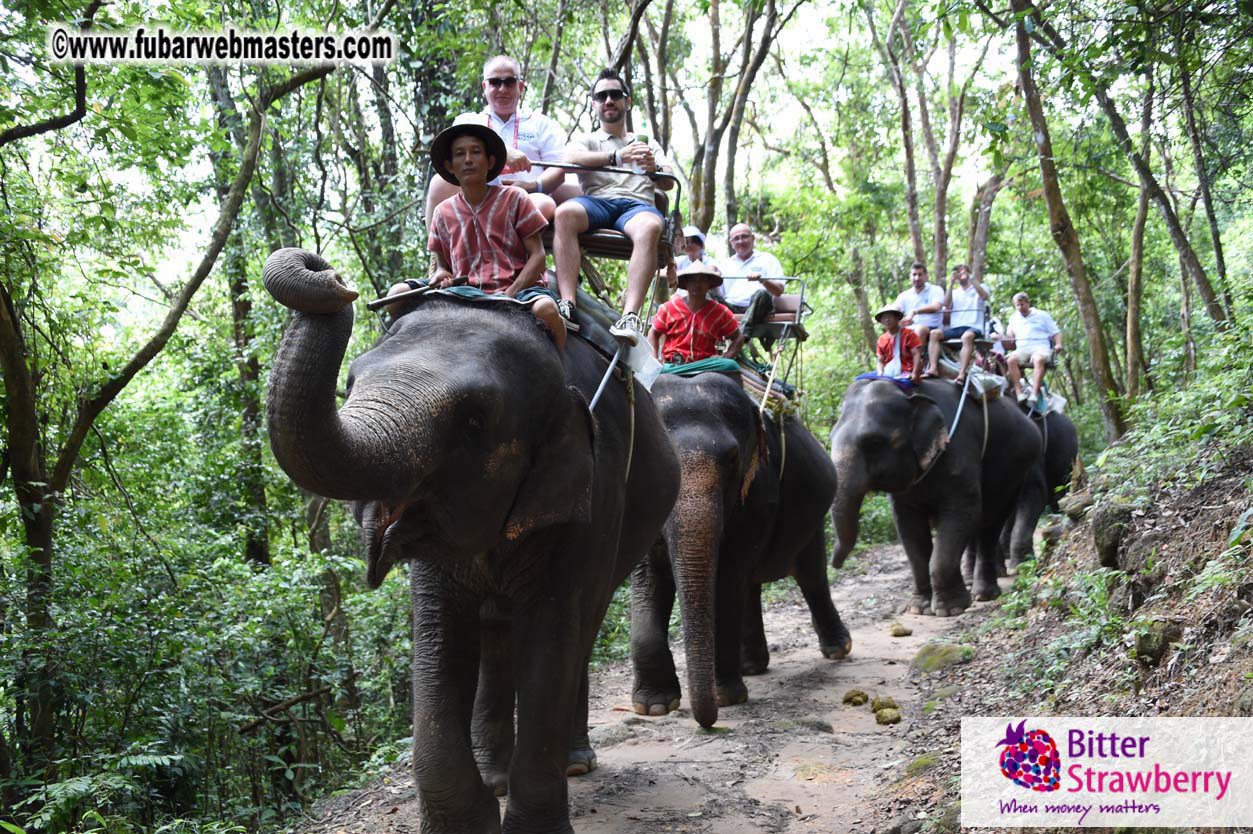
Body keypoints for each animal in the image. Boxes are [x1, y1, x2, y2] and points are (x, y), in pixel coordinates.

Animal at [261, 248, 680, 834]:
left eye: (475, 418)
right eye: (351, 383)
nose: (329, 274)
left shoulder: (594, 493)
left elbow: (553, 631)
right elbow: (438, 632)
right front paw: (471, 818)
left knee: (583, 625)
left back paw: (574, 762)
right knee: (497, 628)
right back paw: (495, 773)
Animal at [630, 371, 848, 728]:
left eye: (731, 459)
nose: (707, 722)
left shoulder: (759, 491)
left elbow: (728, 577)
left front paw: (726, 698)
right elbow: (649, 579)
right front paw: (655, 706)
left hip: (813, 513)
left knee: (810, 574)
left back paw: (837, 650)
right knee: (752, 586)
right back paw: (752, 667)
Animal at [829, 378, 1041, 615]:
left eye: (873, 442)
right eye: (830, 437)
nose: (835, 564)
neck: (909, 394)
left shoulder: (959, 453)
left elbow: (963, 513)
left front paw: (951, 609)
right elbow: (909, 530)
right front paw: (919, 608)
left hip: (1016, 470)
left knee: (991, 523)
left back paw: (984, 594)